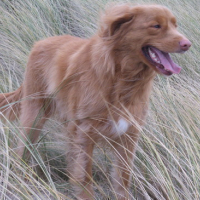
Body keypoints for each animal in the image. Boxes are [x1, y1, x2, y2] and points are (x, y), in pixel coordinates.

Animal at [0, 3, 191, 200]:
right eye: (156, 26)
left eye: (175, 25)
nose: (187, 44)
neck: (121, 79)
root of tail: (41, 42)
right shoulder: (84, 133)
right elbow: (84, 177)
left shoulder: (128, 136)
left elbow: (123, 179)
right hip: (34, 117)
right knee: (22, 151)